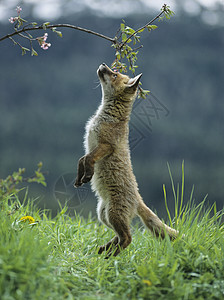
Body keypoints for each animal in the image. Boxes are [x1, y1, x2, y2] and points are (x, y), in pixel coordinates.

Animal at [75, 62, 178, 255]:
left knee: (128, 238)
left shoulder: (106, 146)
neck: (105, 117)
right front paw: (79, 179)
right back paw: (105, 250)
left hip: (114, 215)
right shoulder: (91, 145)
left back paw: (111, 255)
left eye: (114, 75)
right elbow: (81, 160)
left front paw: (88, 176)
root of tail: (138, 198)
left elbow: (89, 160)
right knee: (120, 237)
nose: (103, 64)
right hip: (104, 216)